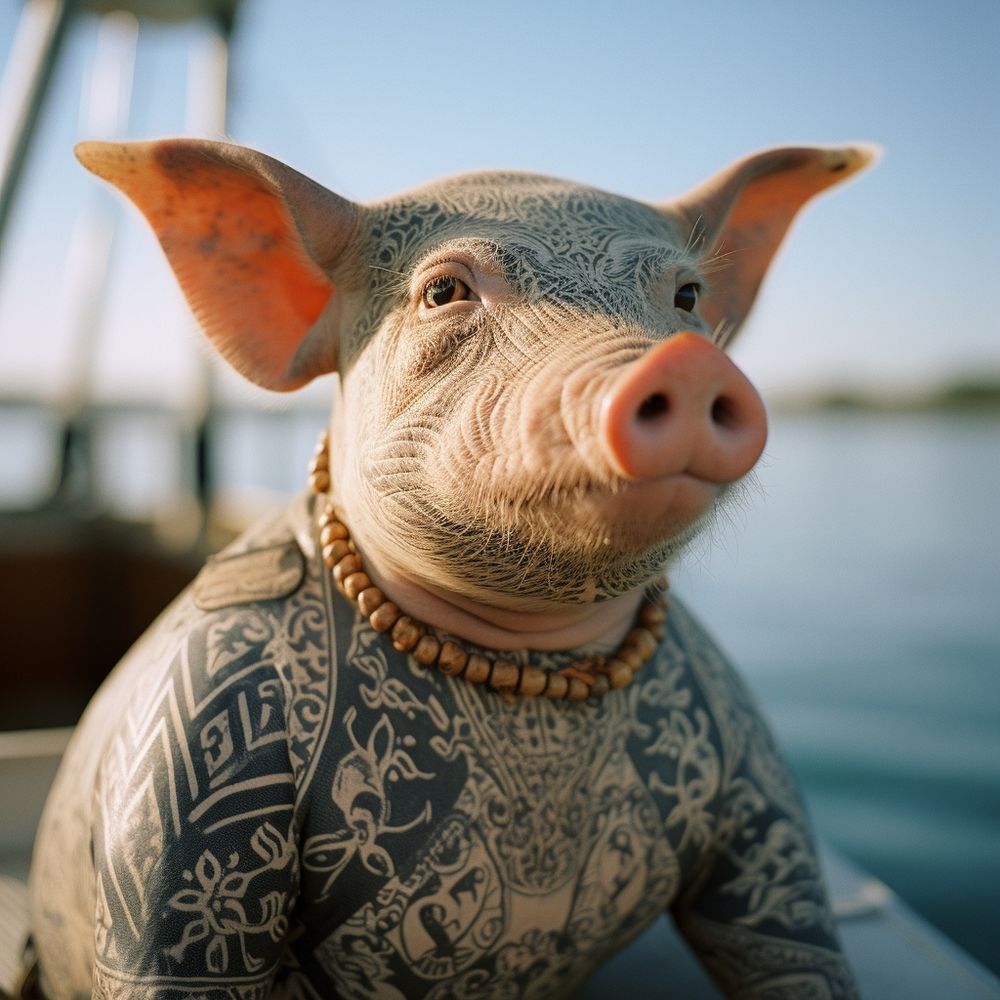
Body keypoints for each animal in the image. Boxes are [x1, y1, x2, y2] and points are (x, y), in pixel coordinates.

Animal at [26, 138, 875, 999]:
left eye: (687, 294)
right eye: (444, 290)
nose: (685, 365)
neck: (532, 662)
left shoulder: (739, 737)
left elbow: (784, 933)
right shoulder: (193, 736)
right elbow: (173, 955)